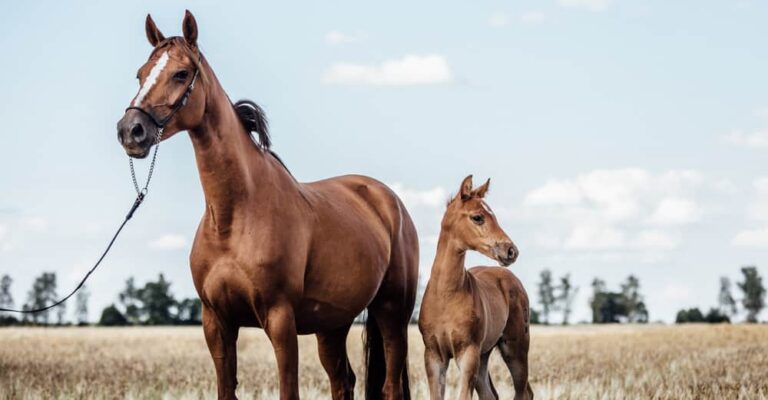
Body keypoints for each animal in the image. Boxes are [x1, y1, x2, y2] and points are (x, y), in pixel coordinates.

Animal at [116, 11, 418, 400]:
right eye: (141, 74)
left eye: (181, 74)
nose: (130, 130)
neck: (233, 217)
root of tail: (387, 199)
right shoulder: (217, 323)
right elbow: (226, 388)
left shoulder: (280, 319)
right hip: (332, 325)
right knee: (343, 380)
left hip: (392, 312)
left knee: (390, 384)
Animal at [418, 176, 533, 400]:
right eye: (478, 217)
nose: (511, 251)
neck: (445, 295)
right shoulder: (434, 355)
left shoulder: (468, 353)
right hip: (484, 354)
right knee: (491, 394)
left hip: (515, 348)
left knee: (523, 392)